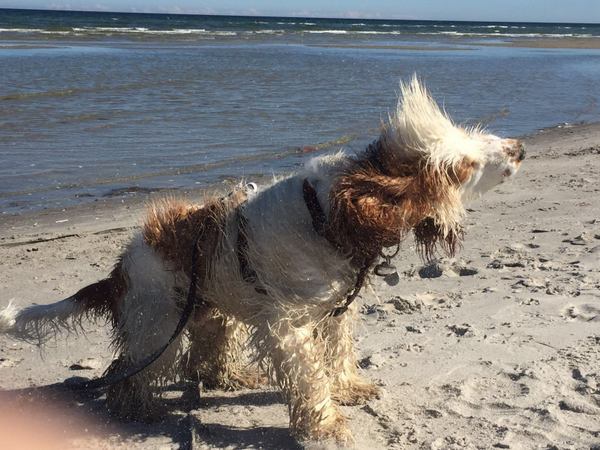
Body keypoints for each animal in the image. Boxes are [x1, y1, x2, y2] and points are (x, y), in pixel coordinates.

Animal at [0, 77, 524, 442]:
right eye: (463, 166)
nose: (519, 148)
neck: (331, 215)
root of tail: (121, 268)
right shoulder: (287, 326)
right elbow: (310, 378)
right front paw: (324, 426)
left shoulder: (335, 313)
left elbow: (337, 356)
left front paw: (348, 387)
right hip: (157, 325)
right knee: (126, 377)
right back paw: (141, 412)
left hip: (214, 313)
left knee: (203, 361)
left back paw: (231, 377)